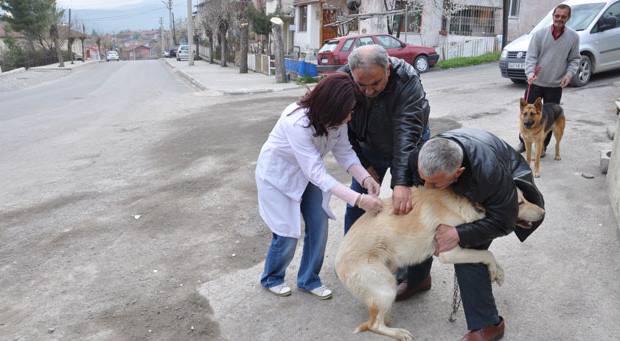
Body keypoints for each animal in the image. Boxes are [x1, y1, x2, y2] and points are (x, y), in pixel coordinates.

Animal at [336, 186, 544, 340]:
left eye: (525, 199)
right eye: (519, 203)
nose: (543, 212)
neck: (460, 205)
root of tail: (338, 262)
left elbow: (488, 254)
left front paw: (498, 273)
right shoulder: (451, 252)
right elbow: (487, 253)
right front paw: (495, 270)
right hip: (386, 287)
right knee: (373, 324)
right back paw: (398, 333)